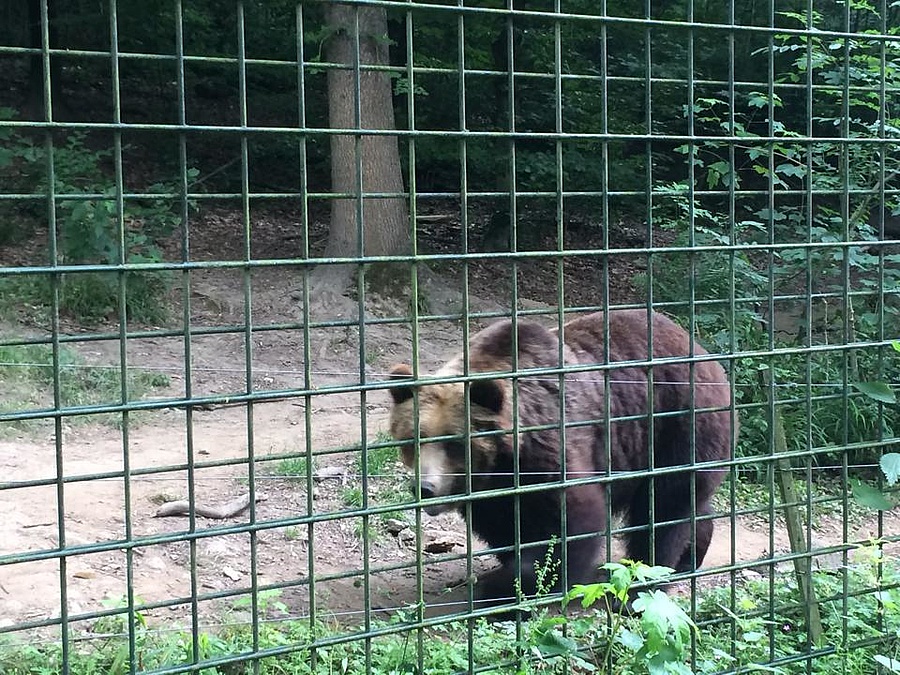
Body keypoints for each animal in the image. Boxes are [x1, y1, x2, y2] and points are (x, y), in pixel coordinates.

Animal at [386, 308, 740, 604]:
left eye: (455, 443)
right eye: (412, 439)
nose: (425, 487)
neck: (503, 464)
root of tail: (705, 355)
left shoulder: (550, 447)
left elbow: (572, 520)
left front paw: (510, 587)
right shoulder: (494, 493)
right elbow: (505, 526)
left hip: (678, 425)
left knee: (663, 508)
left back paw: (645, 580)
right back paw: (689, 557)